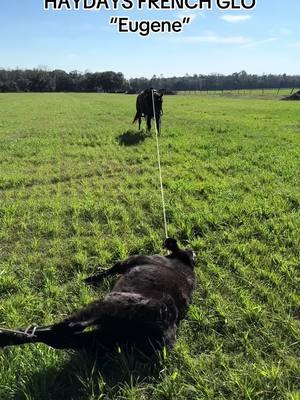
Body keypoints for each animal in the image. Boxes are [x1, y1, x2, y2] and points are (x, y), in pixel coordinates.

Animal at [0, 238, 196, 354]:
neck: (182, 264)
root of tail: (165, 327)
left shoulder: (129, 261)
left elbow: (111, 268)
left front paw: (89, 278)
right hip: (104, 338)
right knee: (59, 338)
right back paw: (12, 337)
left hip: (106, 305)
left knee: (65, 328)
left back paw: (11, 333)